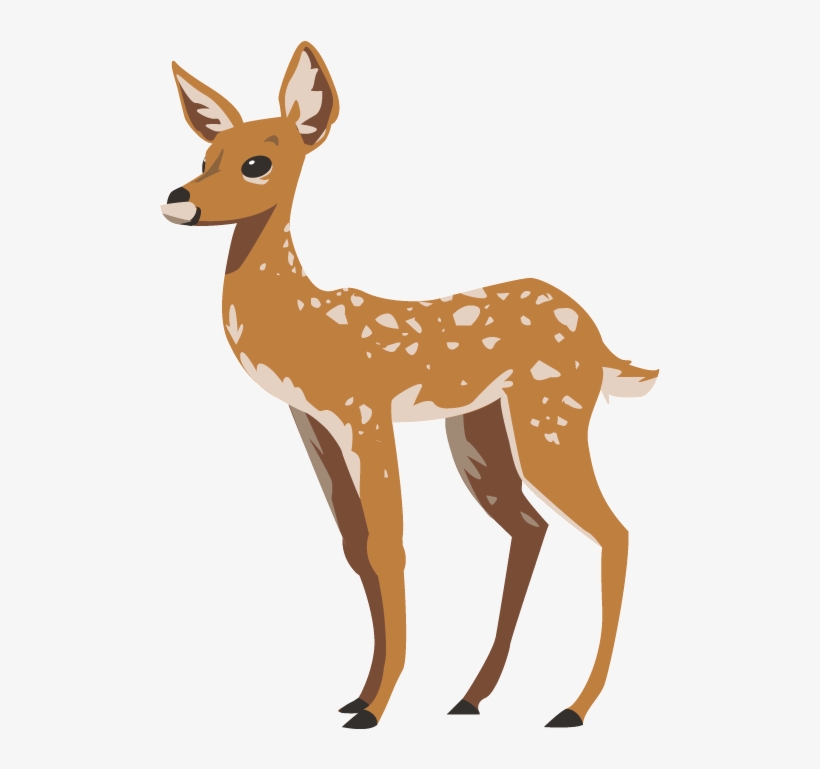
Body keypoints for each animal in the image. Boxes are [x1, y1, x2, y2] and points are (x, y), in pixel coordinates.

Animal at [161, 42, 659, 730]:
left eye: (257, 162)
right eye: (204, 156)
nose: (177, 198)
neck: (305, 323)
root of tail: (597, 340)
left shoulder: (366, 411)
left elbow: (388, 544)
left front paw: (374, 710)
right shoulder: (314, 423)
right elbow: (353, 545)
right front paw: (357, 695)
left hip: (552, 411)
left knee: (612, 530)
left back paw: (572, 708)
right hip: (475, 429)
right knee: (530, 525)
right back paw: (471, 696)